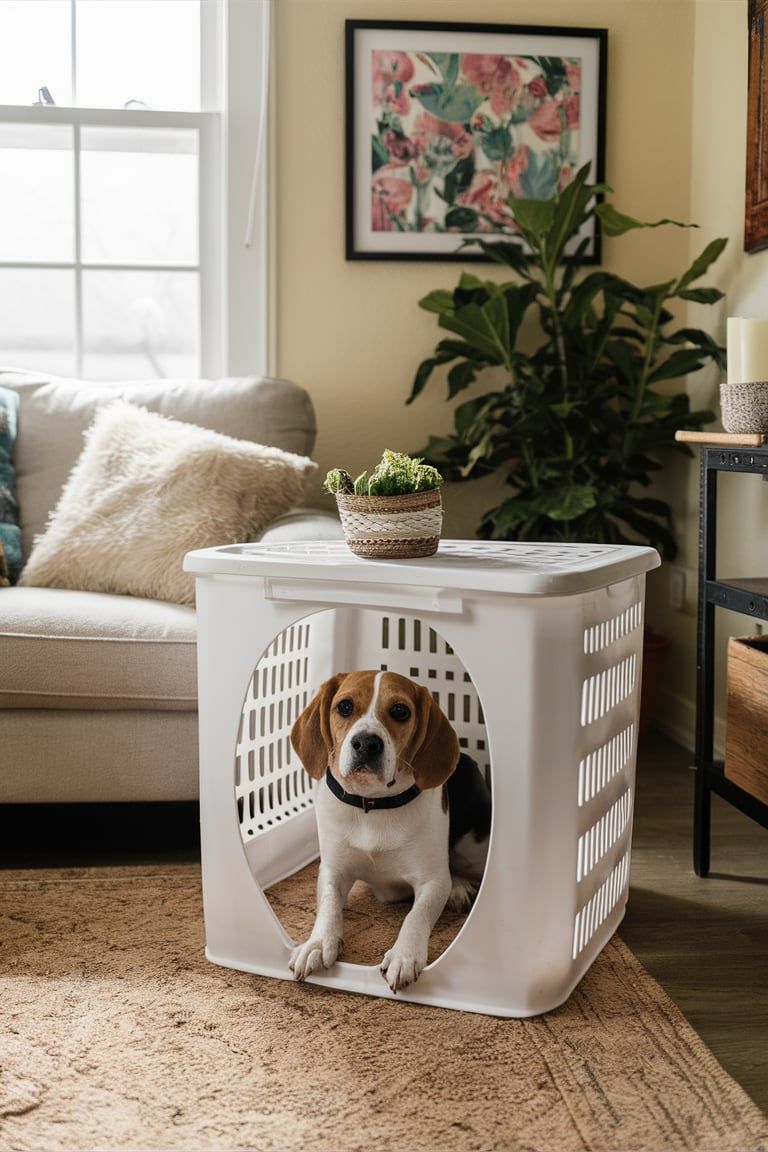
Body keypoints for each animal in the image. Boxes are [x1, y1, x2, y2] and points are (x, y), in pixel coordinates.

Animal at [287, 672, 492, 995]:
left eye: (400, 711)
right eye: (345, 706)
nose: (366, 743)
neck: (372, 807)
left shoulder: (432, 881)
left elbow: (416, 916)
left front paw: (404, 955)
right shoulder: (332, 871)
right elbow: (329, 906)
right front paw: (317, 944)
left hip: (474, 846)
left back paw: (459, 886)